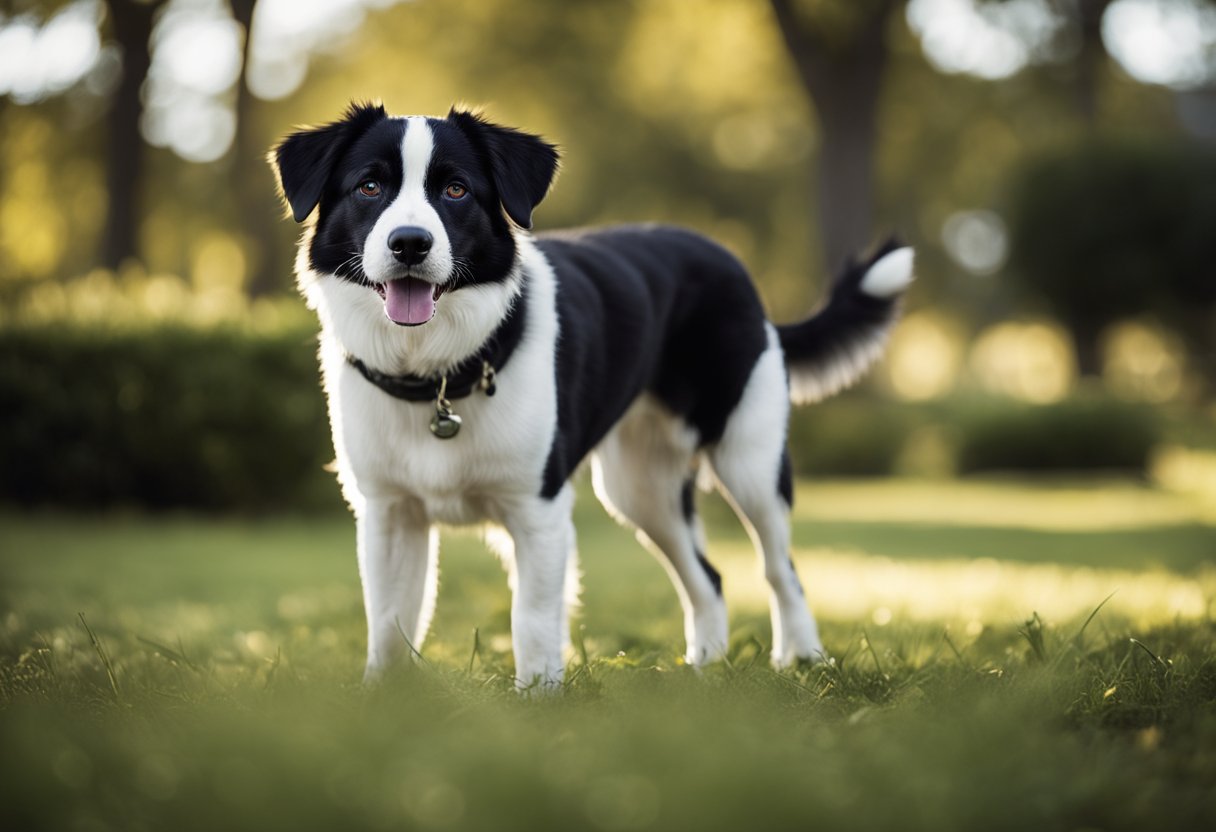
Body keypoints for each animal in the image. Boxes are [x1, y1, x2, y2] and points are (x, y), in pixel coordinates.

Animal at [268, 104, 914, 686]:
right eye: (369, 186)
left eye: (455, 189)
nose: (409, 243)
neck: (439, 375)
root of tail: (735, 270)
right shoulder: (389, 514)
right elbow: (388, 624)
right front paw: (385, 703)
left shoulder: (539, 510)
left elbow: (531, 620)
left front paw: (537, 701)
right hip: (640, 488)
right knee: (707, 577)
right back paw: (704, 672)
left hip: (748, 461)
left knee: (782, 568)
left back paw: (801, 658)